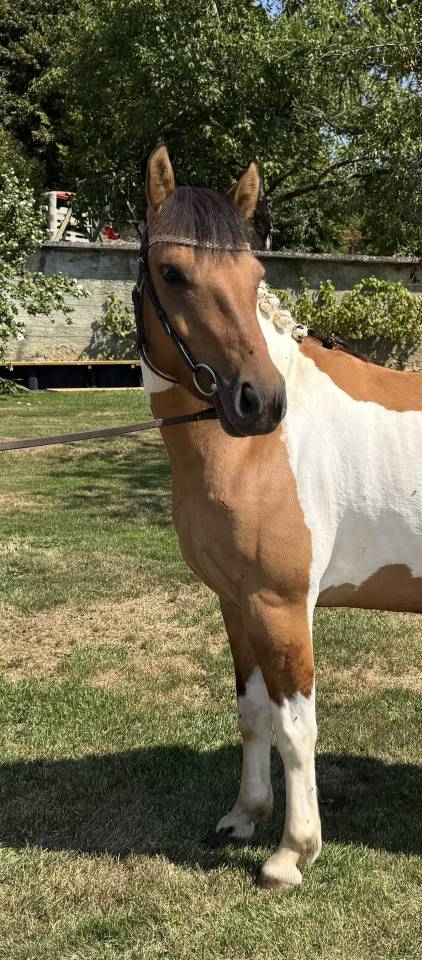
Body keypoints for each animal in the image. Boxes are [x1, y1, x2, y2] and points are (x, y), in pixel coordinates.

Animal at [136, 145, 422, 891]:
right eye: (172, 272)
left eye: (255, 275)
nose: (257, 401)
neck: (256, 453)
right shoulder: (237, 603)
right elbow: (253, 712)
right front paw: (244, 816)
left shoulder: (281, 605)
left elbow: (296, 727)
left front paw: (292, 852)